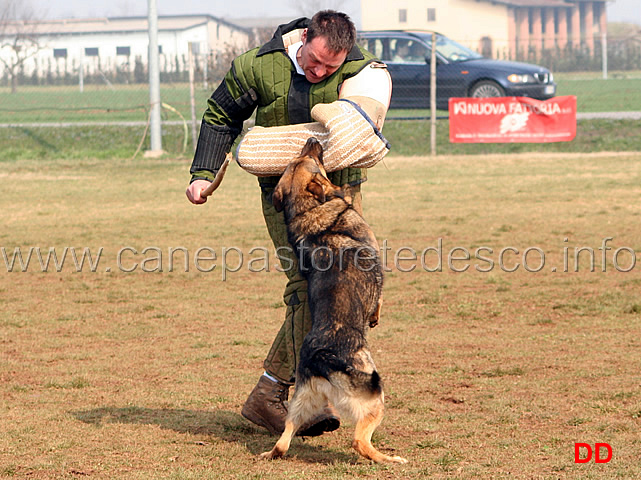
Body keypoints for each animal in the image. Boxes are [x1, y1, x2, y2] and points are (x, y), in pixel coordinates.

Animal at [258, 137, 404, 464]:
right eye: (311, 159)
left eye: (297, 159)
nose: (312, 139)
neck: (310, 212)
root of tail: (320, 357)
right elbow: (379, 299)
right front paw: (375, 317)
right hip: (375, 395)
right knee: (359, 442)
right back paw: (389, 459)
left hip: (300, 405)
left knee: (283, 442)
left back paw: (269, 452)